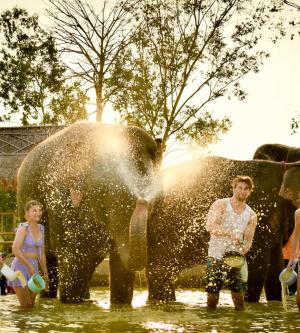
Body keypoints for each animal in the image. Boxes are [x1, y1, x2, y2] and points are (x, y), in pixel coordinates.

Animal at [16, 122, 158, 304]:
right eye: (107, 193)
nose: (143, 200)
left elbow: (120, 268)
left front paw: (120, 305)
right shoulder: (63, 203)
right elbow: (72, 259)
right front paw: (69, 301)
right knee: (48, 258)